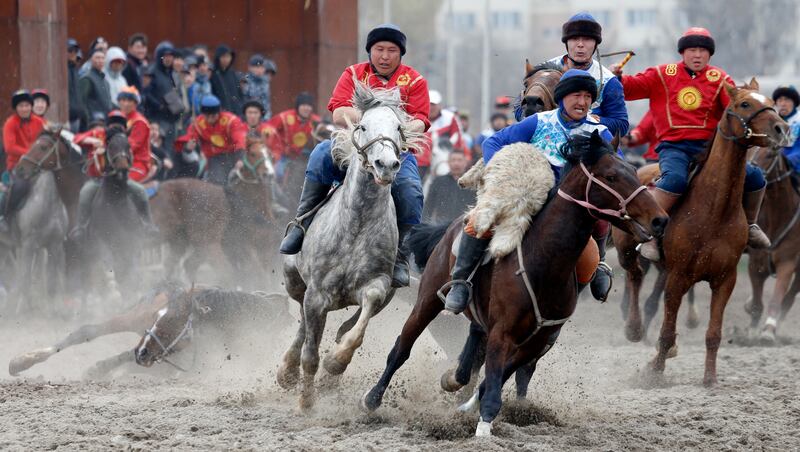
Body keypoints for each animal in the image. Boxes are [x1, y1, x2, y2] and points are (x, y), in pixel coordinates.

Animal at [362, 132, 668, 436]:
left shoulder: (538, 340)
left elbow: (496, 379)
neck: (544, 262)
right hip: (428, 298)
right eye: (611, 176)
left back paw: (455, 379)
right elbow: (493, 380)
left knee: (472, 347)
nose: (660, 219)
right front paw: (484, 427)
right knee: (402, 347)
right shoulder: (503, 332)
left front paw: (471, 409)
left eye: (633, 171)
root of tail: (454, 224)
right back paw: (372, 399)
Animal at [620, 80, 788, 384]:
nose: (781, 129)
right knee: (634, 276)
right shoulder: (678, 276)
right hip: (626, 250)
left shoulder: (725, 279)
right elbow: (666, 331)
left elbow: (713, 334)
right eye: (745, 104)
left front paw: (709, 377)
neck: (714, 208)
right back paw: (634, 327)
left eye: (770, 102)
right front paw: (654, 371)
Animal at [744, 147, 800, 340]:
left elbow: (777, 298)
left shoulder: (787, 262)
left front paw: (768, 329)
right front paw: (752, 330)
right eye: (749, 152)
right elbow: (756, 302)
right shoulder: (756, 263)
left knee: (789, 297)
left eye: (770, 154)